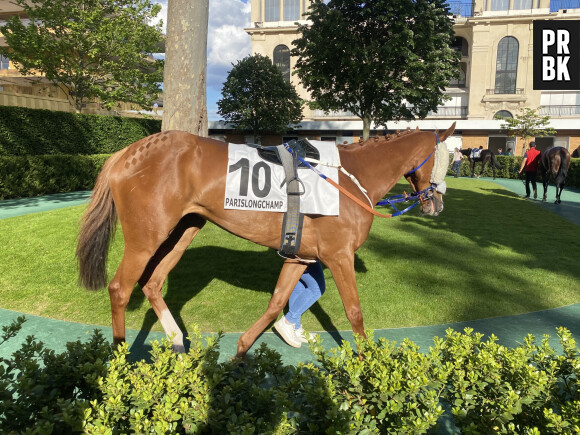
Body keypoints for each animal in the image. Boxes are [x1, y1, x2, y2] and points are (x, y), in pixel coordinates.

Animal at [77, 122, 456, 358]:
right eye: (449, 157)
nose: (437, 204)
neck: (349, 178)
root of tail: (126, 153)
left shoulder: (300, 256)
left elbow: (276, 303)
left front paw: (242, 348)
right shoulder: (339, 255)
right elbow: (354, 313)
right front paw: (368, 364)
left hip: (184, 229)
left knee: (152, 283)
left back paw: (177, 342)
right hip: (146, 237)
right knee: (120, 289)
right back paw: (120, 357)